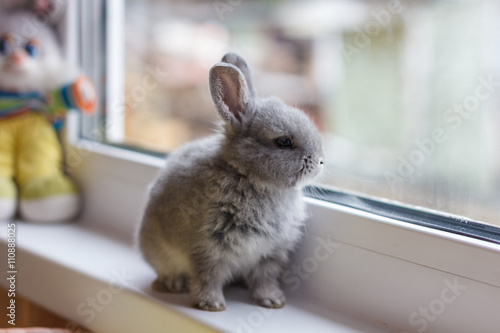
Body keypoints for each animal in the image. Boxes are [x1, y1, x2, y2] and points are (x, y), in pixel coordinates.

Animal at [140, 53, 324, 310]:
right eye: (284, 142)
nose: (320, 161)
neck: (248, 175)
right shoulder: (208, 248)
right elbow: (208, 276)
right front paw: (211, 304)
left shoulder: (270, 254)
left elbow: (265, 278)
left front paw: (272, 300)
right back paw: (175, 283)